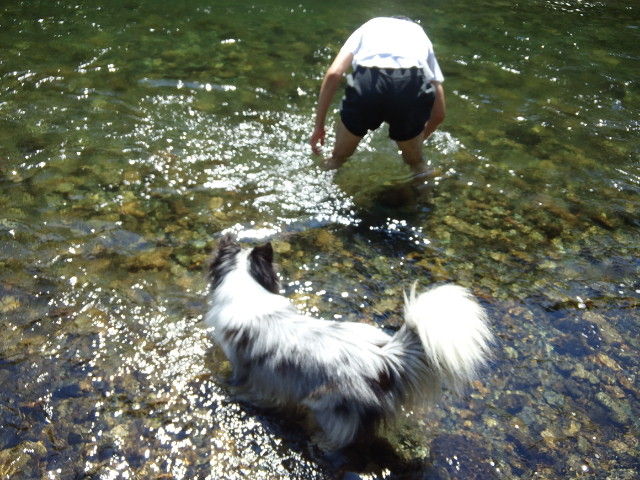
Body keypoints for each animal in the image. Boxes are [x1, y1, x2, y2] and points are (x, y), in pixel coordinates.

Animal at [205, 234, 493, 451]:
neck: (246, 290)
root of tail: (385, 360)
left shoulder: (241, 365)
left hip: (327, 403)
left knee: (343, 436)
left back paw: (321, 442)